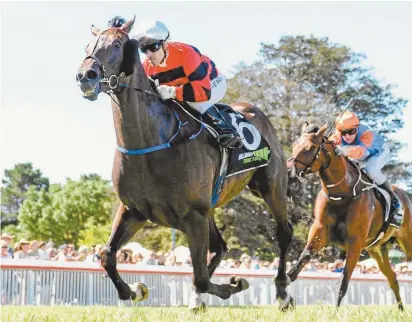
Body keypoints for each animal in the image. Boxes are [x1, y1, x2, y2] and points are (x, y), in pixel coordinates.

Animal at [75, 18, 294, 310]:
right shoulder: (134, 210)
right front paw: (135, 291)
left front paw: (234, 284)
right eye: (87, 46)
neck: (151, 142)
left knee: (283, 233)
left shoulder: (194, 215)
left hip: (270, 188)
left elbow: (201, 276)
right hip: (212, 205)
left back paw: (282, 293)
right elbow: (107, 255)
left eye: (118, 44)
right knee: (220, 247)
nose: (85, 75)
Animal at [286, 122, 412, 310]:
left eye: (311, 147)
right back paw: (401, 310)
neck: (342, 193)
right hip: (377, 249)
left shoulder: (355, 242)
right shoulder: (320, 230)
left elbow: (343, 282)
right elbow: (302, 259)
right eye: (294, 144)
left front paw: (335, 312)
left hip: (407, 241)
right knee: (392, 278)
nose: (289, 173)